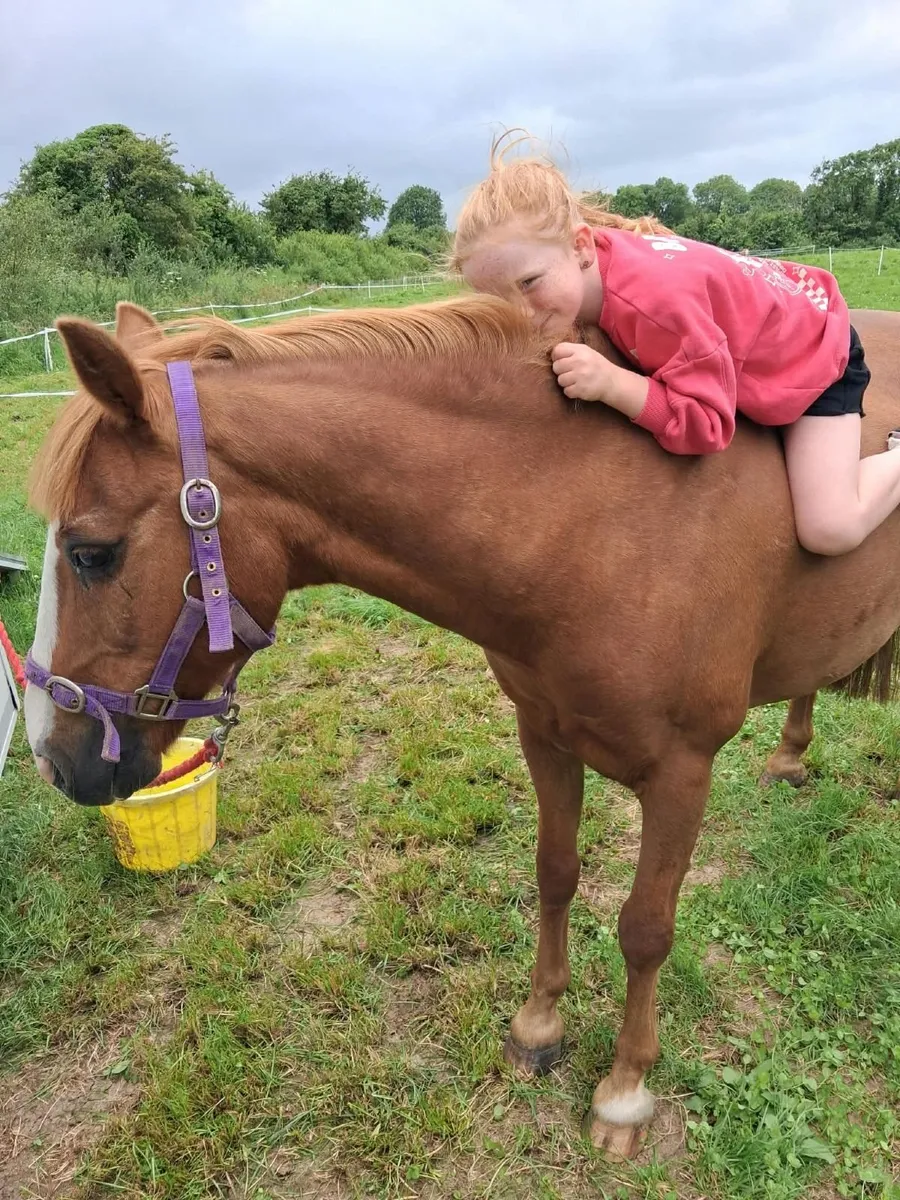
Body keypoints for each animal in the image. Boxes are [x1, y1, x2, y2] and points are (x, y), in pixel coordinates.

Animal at [22, 296, 900, 1160]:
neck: (597, 517)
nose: (54, 759)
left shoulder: (683, 771)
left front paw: (623, 1092)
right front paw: (538, 1027)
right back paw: (789, 756)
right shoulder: (544, 734)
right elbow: (556, 874)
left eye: (92, 553)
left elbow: (646, 929)